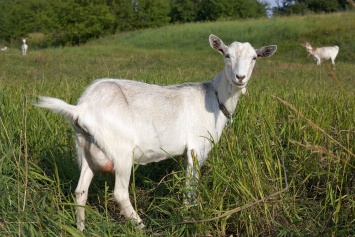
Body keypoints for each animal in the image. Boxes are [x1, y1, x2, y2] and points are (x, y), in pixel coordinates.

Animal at [33, 34, 278, 231]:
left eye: (254, 58)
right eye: (226, 55)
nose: (240, 77)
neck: (215, 98)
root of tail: (82, 108)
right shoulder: (196, 147)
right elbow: (190, 185)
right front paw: (188, 217)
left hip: (84, 149)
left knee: (80, 191)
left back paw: (81, 228)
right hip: (121, 152)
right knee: (119, 193)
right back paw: (141, 226)